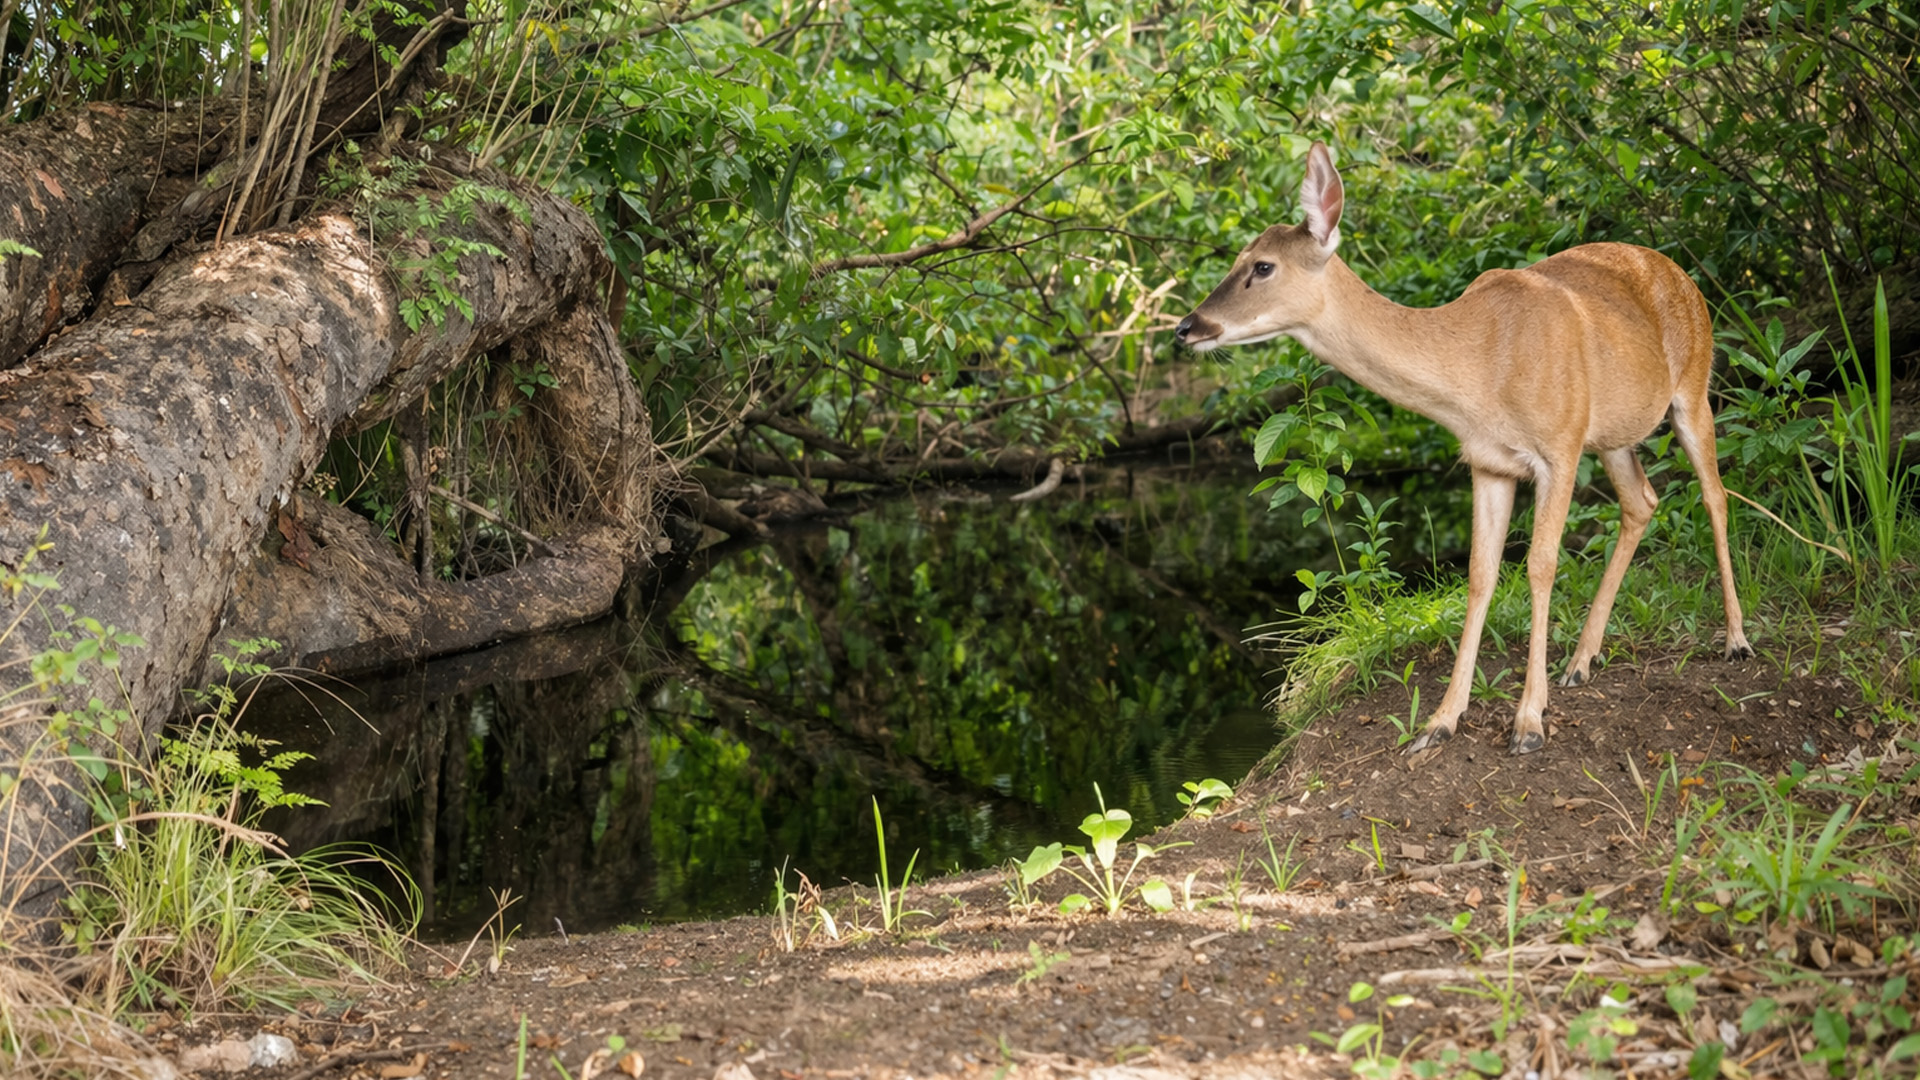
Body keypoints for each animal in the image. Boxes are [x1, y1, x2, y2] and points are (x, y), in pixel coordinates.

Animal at [1175, 141, 1752, 755]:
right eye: (1239, 258)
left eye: (1262, 266)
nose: (1186, 327)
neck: (1479, 372)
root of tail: (1681, 273)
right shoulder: (1488, 462)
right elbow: (1480, 574)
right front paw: (1440, 720)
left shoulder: (1558, 449)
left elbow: (1541, 565)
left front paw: (1529, 722)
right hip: (1613, 434)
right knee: (1642, 501)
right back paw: (1581, 659)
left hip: (1693, 388)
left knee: (1715, 495)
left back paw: (1736, 640)